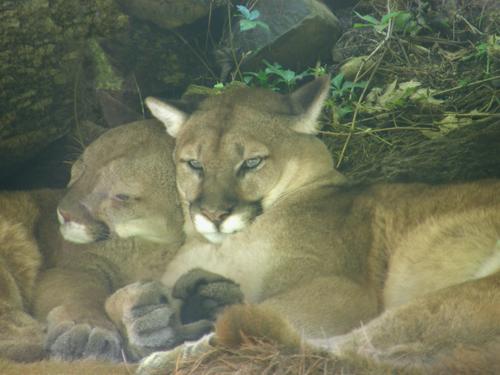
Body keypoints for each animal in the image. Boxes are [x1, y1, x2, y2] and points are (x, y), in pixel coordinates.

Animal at [134, 75, 500, 374]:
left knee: (328, 351)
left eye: (252, 162)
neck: (219, 246)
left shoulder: (339, 289)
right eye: (194, 164)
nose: (214, 215)